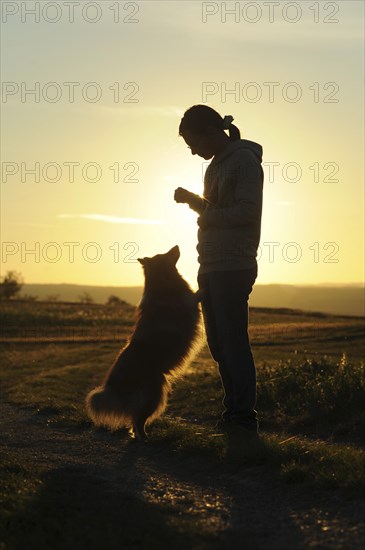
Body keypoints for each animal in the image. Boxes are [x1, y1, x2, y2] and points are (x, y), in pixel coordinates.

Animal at [85, 248, 202, 442]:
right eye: (164, 254)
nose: (177, 246)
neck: (161, 280)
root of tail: (114, 384)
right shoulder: (189, 301)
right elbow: (197, 294)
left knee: (134, 419)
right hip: (155, 393)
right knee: (138, 420)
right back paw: (145, 438)